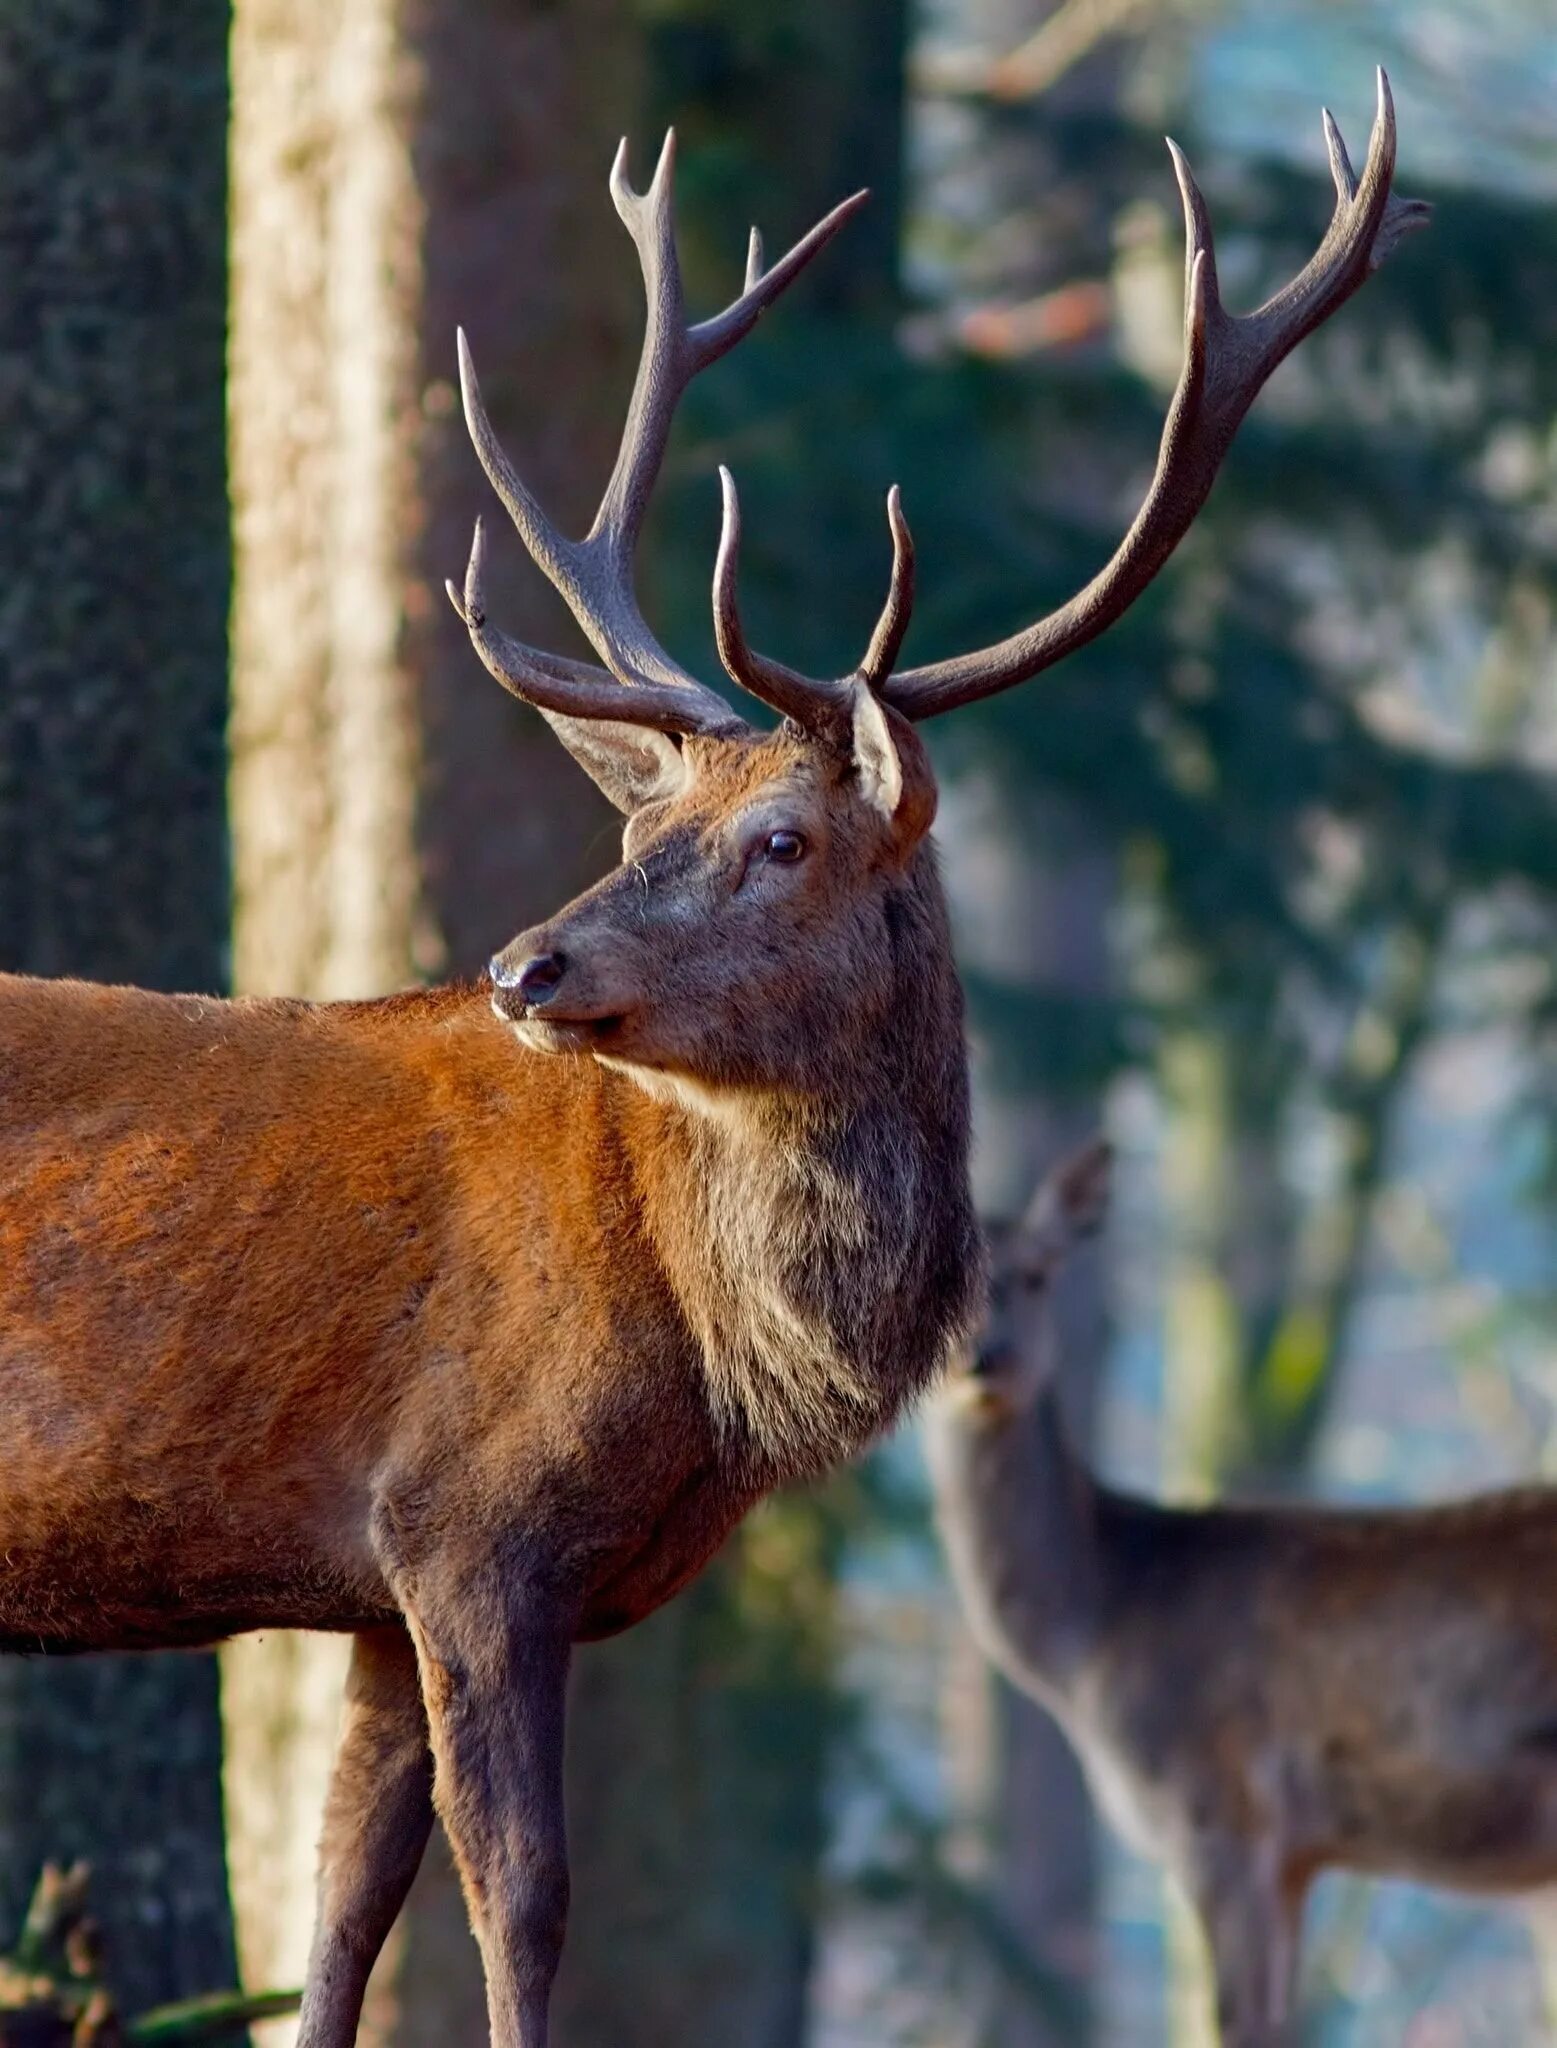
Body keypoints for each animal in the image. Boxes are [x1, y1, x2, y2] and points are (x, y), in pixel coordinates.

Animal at [0, 75, 1425, 2048]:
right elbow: (523, 1900)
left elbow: (343, 1907)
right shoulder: (472, 1521)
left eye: (779, 841)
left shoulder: (374, 1584)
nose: (527, 965)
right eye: (648, 818)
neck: (715, 1363)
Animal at [926, 1146, 1556, 2039]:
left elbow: (1235, 2024)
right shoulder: (1294, 1852)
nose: (986, 1358)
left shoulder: (1221, 1809)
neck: (1094, 1630)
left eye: (1039, 1272)